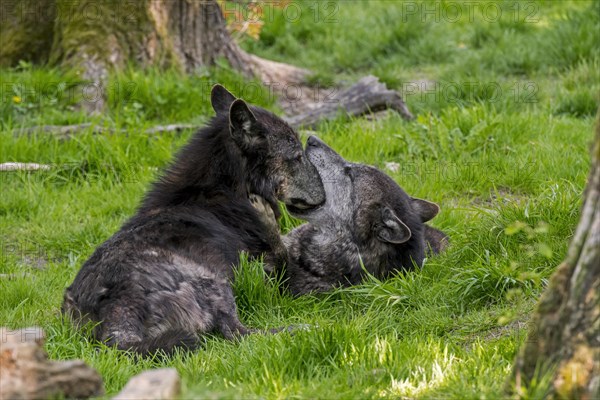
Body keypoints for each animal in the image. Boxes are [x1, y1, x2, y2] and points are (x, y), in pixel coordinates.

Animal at [62, 84, 324, 354]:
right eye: (297, 156)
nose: (324, 194)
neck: (219, 191)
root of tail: (114, 315)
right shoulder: (275, 271)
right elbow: (282, 253)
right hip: (214, 283)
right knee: (239, 334)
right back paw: (302, 328)